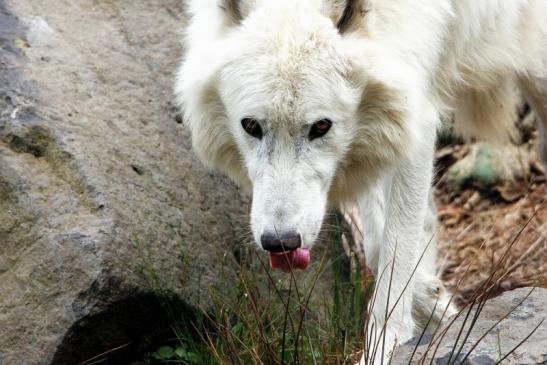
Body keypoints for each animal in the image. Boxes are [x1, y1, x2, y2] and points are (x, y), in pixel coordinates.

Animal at [177, 0, 547, 362]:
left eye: (321, 126)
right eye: (251, 126)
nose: (280, 242)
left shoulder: (413, 112)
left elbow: (396, 250)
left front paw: (385, 344)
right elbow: (379, 245)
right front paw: (434, 298)